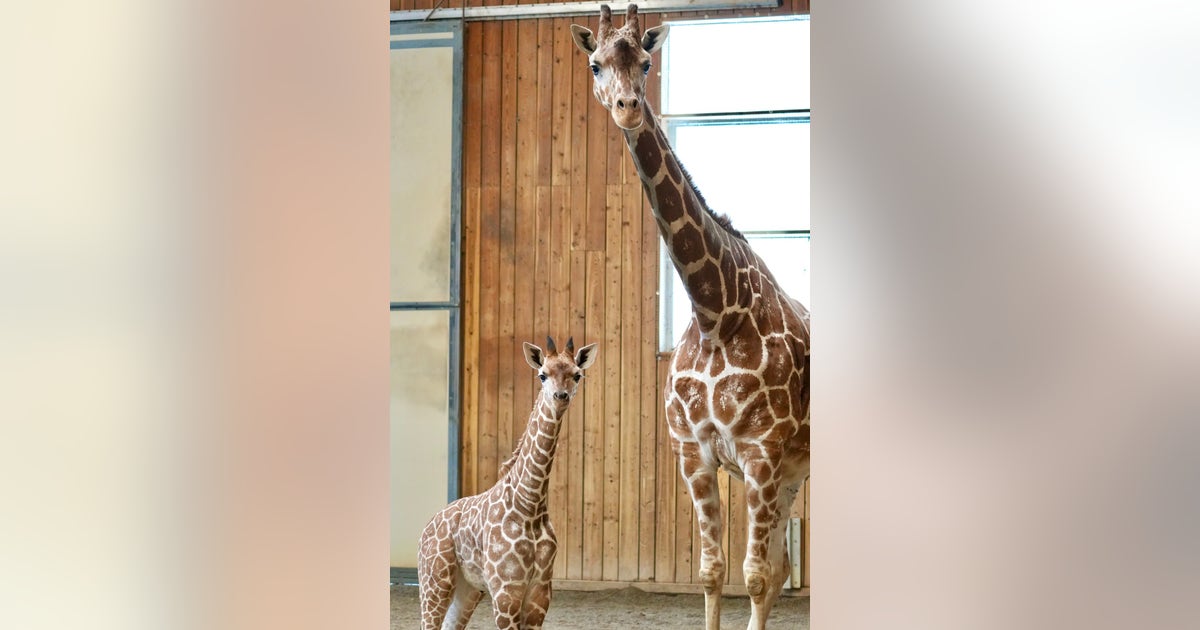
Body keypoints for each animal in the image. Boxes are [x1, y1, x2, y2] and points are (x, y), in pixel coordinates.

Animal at [417, 337, 598, 630]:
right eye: (542, 374)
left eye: (576, 375)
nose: (561, 396)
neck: (530, 506)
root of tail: (427, 525)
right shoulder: (505, 591)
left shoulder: (540, 592)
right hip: (434, 582)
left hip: (467, 588)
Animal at [571, 6, 810, 630]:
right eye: (595, 62)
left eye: (646, 61)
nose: (628, 106)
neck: (715, 312)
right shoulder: (694, 455)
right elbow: (714, 572)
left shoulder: (760, 453)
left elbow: (754, 576)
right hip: (793, 471)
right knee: (780, 568)